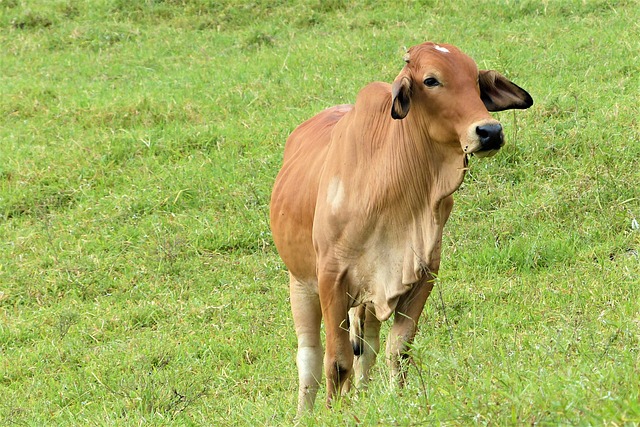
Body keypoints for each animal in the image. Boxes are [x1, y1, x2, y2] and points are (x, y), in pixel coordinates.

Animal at [268, 41, 532, 414]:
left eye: (475, 80)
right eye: (431, 80)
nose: (490, 132)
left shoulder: (419, 275)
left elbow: (398, 350)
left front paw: (398, 399)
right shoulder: (331, 279)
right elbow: (336, 361)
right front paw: (335, 413)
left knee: (366, 347)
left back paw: (362, 396)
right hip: (301, 283)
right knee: (309, 359)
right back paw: (306, 413)